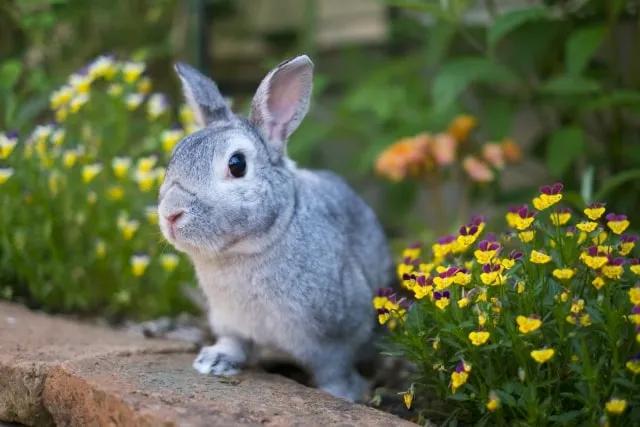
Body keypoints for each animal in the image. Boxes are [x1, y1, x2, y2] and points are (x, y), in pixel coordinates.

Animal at [157, 55, 392, 402]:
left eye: (237, 164)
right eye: (176, 155)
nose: (171, 214)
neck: (248, 249)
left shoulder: (336, 337)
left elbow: (334, 369)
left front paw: (340, 394)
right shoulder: (229, 320)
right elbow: (234, 342)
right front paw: (213, 361)